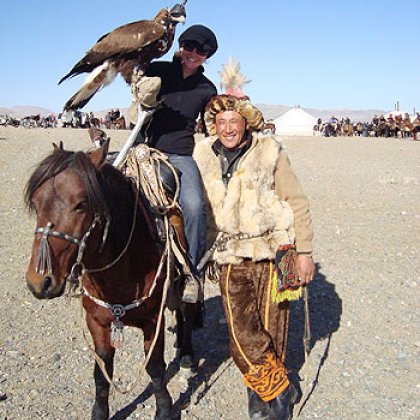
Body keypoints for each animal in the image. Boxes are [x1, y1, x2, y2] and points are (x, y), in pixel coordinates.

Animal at [25, 142, 195, 420]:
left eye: (81, 204)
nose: (39, 281)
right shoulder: (97, 321)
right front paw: (100, 411)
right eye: (37, 202)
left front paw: (164, 409)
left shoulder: (153, 320)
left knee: (186, 311)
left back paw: (188, 354)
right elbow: (102, 371)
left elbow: (155, 367)